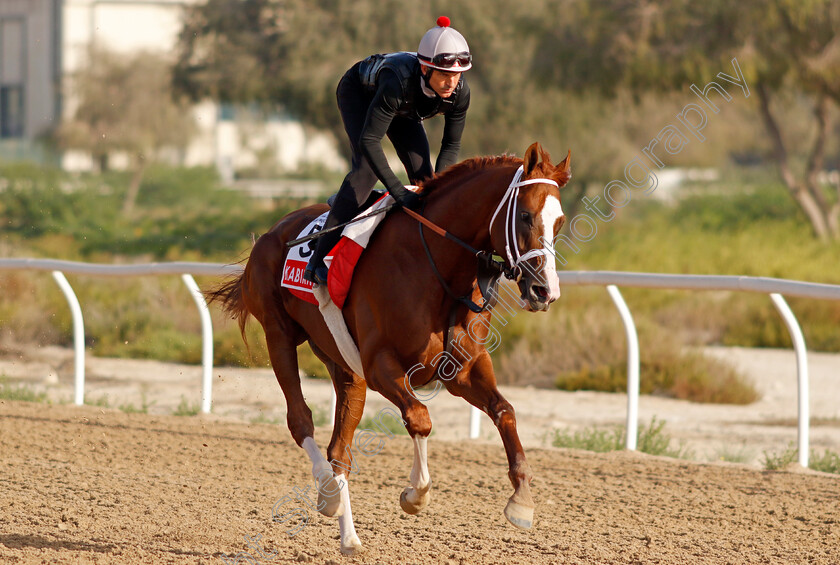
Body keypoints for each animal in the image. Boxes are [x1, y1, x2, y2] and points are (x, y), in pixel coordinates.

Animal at [208, 143, 572, 552]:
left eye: (559, 222)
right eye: (525, 215)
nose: (545, 291)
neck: (438, 265)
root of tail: (272, 231)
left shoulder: (463, 368)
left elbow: (504, 410)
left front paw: (522, 500)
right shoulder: (381, 364)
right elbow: (420, 419)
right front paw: (415, 495)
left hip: (343, 364)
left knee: (340, 449)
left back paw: (348, 534)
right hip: (278, 334)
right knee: (300, 420)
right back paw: (328, 493)